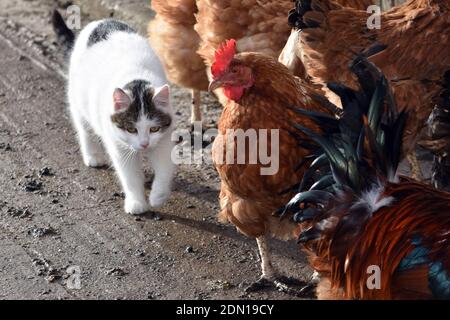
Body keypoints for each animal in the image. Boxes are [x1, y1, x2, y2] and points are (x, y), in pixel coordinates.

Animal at [55, 15, 176, 215]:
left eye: (154, 128)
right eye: (131, 129)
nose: (144, 144)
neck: (136, 79)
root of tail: (101, 21)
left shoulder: (163, 140)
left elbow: (164, 168)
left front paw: (158, 196)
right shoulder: (119, 146)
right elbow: (130, 176)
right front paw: (136, 202)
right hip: (78, 102)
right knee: (84, 130)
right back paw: (93, 156)